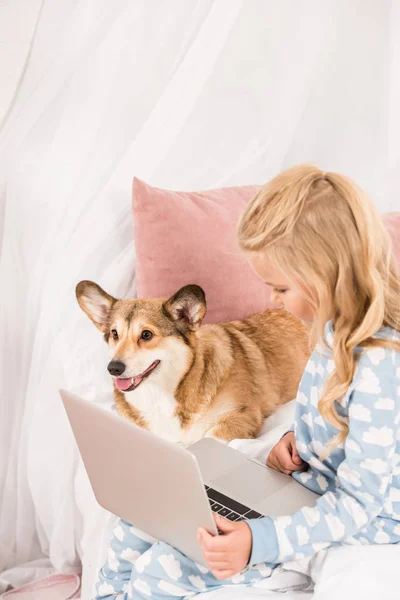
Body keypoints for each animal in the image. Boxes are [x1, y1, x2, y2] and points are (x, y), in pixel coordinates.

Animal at [76, 282, 310, 446]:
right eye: (114, 333)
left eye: (146, 334)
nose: (113, 368)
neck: (160, 394)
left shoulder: (241, 415)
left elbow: (210, 437)